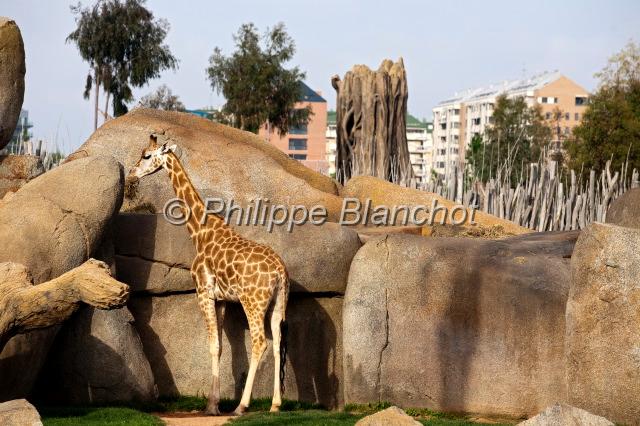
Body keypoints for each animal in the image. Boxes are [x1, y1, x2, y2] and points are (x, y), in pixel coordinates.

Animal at [128, 135, 289, 416]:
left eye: (146, 155)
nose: (132, 172)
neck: (200, 232)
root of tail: (280, 272)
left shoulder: (202, 292)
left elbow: (213, 345)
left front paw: (212, 406)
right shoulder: (222, 299)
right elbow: (221, 347)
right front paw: (214, 403)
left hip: (253, 302)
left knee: (260, 342)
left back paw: (241, 406)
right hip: (278, 303)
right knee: (278, 342)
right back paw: (275, 405)